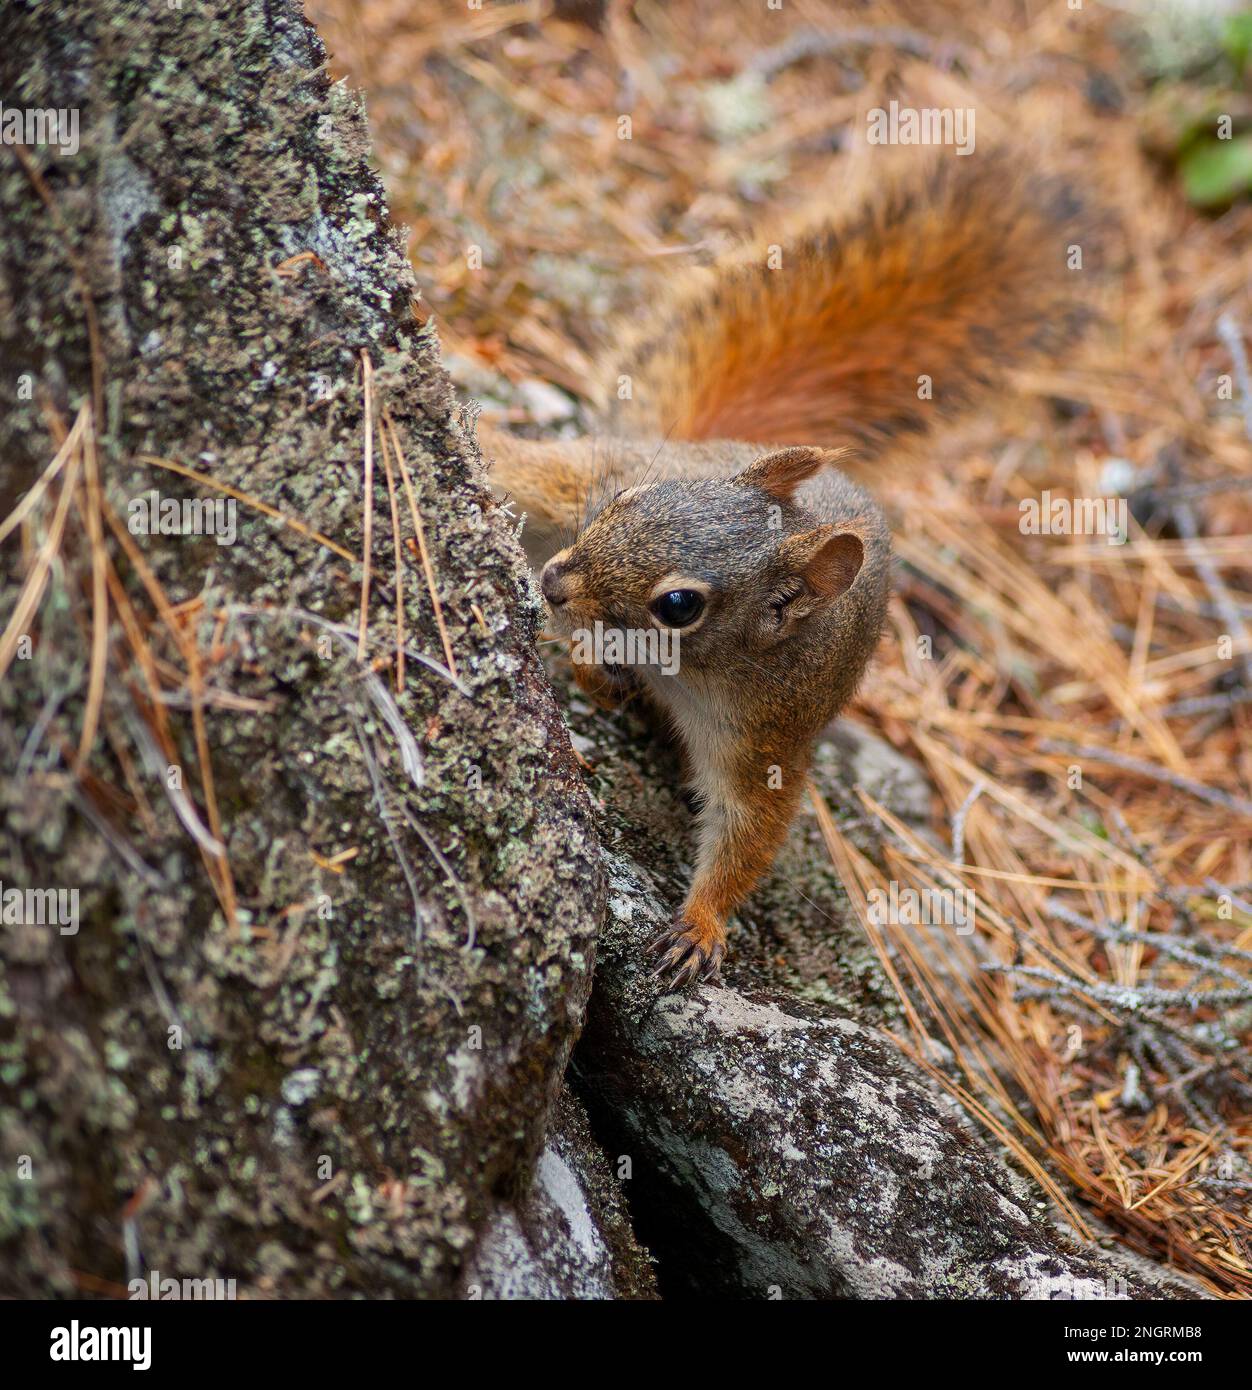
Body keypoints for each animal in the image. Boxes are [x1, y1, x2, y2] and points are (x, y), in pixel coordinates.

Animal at [479, 147, 1098, 988]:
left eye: (679, 606)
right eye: (636, 497)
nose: (555, 584)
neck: (691, 675)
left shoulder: (771, 740)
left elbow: (751, 832)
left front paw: (702, 924)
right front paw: (591, 667)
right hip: (574, 484)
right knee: (529, 467)